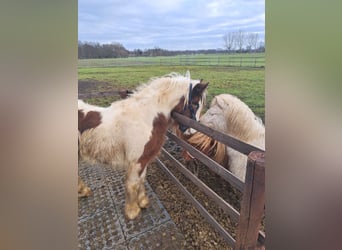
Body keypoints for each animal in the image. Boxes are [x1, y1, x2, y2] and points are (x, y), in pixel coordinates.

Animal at [78, 71, 207, 220]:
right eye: (195, 104)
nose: (192, 132)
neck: (145, 117)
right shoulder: (137, 161)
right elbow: (133, 183)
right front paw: (132, 211)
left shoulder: (144, 159)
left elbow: (142, 179)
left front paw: (143, 202)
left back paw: (83, 191)